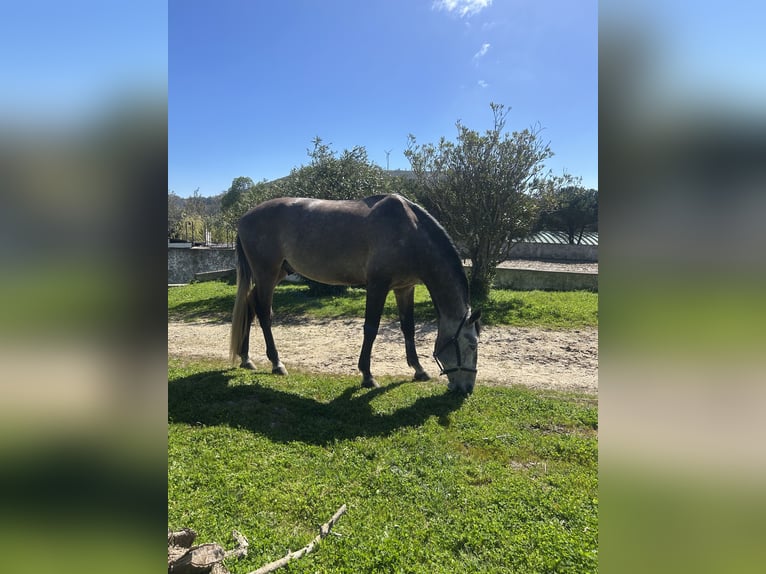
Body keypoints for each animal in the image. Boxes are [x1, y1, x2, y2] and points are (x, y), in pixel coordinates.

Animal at [229, 194, 481, 394]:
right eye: (472, 345)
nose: (467, 388)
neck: (410, 230)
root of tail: (244, 219)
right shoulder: (377, 286)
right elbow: (371, 329)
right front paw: (368, 376)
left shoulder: (404, 288)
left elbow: (408, 328)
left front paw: (419, 370)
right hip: (266, 274)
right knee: (264, 313)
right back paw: (276, 363)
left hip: (278, 272)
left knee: (249, 306)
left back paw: (246, 358)